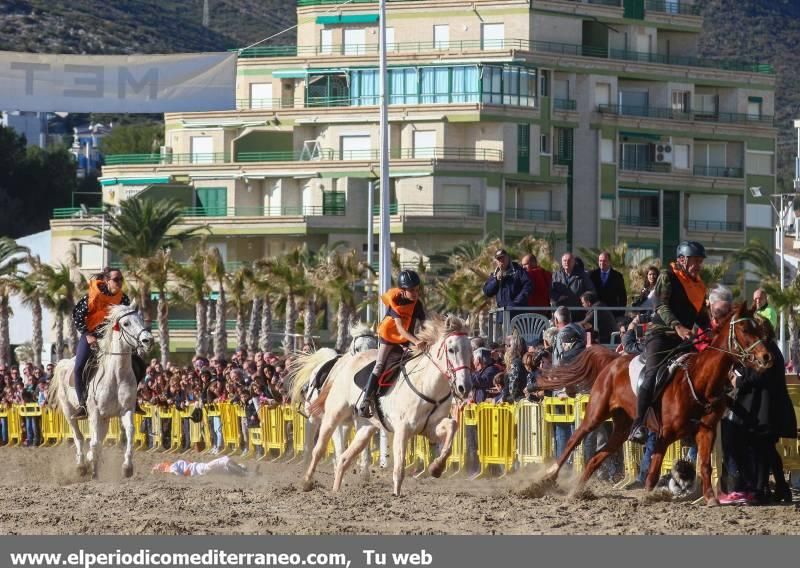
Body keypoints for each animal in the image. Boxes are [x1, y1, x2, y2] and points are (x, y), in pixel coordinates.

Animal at [48, 304, 153, 478]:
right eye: (126, 323)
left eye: (141, 318)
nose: (148, 340)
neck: (116, 374)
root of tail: (64, 363)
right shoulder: (94, 412)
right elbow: (94, 441)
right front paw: (93, 469)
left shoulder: (126, 409)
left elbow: (130, 432)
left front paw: (127, 467)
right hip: (70, 412)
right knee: (79, 437)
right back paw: (81, 465)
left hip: (105, 417)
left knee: (97, 437)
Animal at [288, 322, 378, 472]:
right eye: (357, 348)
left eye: (375, 346)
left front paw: (364, 471)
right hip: (313, 419)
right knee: (309, 448)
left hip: (345, 424)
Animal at [304, 316, 472, 496]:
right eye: (452, 350)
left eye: (470, 349)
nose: (464, 387)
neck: (426, 384)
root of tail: (345, 361)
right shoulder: (402, 429)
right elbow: (399, 470)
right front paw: (396, 495)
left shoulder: (430, 428)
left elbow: (452, 426)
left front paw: (437, 468)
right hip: (333, 415)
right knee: (319, 449)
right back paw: (307, 482)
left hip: (365, 428)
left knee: (344, 458)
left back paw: (336, 492)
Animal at [540, 304, 772, 504]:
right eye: (744, 329)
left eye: (759, 328)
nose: (766, 357)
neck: (699, 381)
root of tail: (613, 361)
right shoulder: (664, 434)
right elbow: (654, 470)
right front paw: (649, 495)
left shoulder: (706, 432)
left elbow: (704, 465)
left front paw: (710, 498)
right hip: (596, 413)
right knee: (574, 440)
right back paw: (549, 477)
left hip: (622, 428)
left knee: (596, 457)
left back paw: (577, 490)